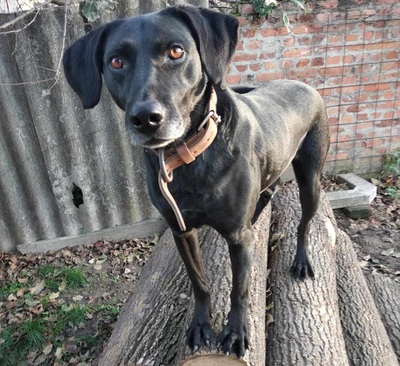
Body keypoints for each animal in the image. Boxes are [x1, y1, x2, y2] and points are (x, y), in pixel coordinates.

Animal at [64, 5, 330, 358]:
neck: (188, 156)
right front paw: (202, 325)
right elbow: (199, 282)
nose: (146, 119)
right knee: (269, 188)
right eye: (116, 62)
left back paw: (301, 261)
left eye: (177, 52)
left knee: (304, 222)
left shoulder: (238, 239)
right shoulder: (181, 230)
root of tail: (305, 84)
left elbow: (239, 289)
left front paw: (235, 332)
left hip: (310, 178)